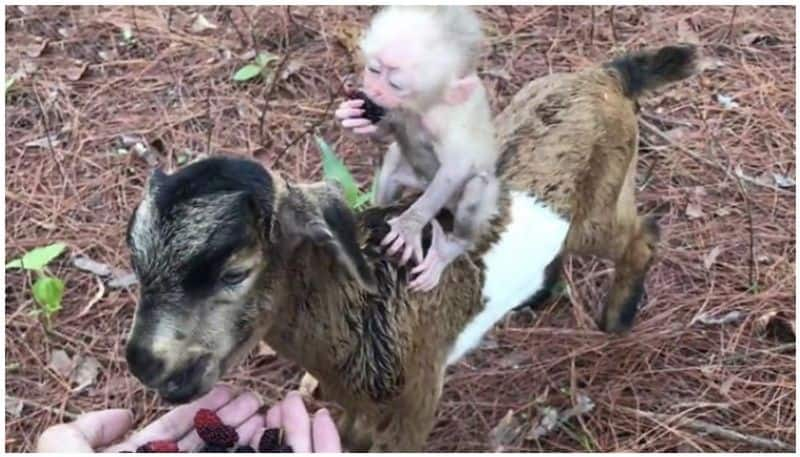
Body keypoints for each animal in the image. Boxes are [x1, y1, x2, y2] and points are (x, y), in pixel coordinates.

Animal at [122, 44, 696, 450]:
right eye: (139, 264)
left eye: (235, 272)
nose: (144, 363)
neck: (361, 309)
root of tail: (609, 76)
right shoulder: (354, 401)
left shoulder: (416, 402)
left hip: (601, 200)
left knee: (641, 234)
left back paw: (617, 317)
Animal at [332, 6, 496, 292]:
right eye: (374, 70)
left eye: (395, 84)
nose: (375, 89)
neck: (420, 108)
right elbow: (386, 131)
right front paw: (353, 117)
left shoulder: (444, 119)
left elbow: (456, 167)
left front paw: (410, 226)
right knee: (392, 164)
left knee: (475, 187)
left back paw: (451, 248)